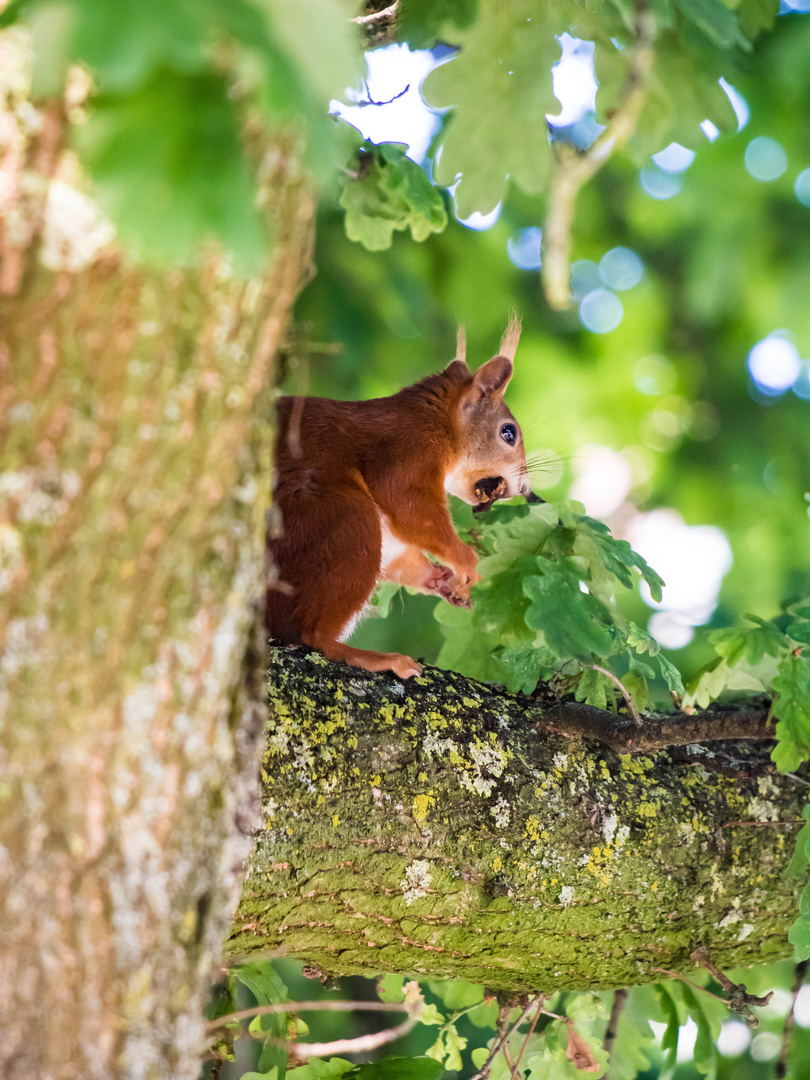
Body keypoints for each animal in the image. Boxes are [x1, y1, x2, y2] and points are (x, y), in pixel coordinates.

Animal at [266, 315, 533, 678]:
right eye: (509, 433)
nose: (526, 488)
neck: (434, 420)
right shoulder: (405, 451)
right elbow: (411, 508)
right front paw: (465, 559)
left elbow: (402, 555)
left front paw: (444, 579)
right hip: (342, 519)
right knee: (309, 633)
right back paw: (370, 656)